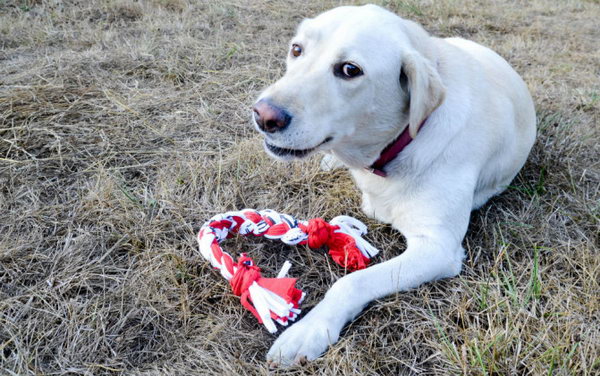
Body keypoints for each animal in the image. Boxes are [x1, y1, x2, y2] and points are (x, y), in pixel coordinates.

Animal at [251, 2, 536, 368]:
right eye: (297, 49)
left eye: (349, 69)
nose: (263, 115)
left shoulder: (438, 247)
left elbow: (352, 282)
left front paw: (309, 330)